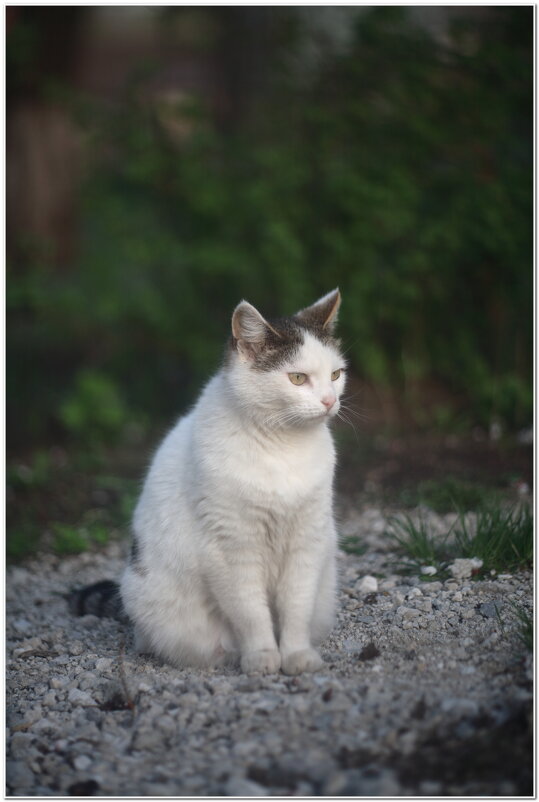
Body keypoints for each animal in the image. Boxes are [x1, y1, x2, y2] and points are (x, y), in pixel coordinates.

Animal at [71, 290, 346, 676]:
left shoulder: (307, 540)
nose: (329, 400)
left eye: (336, 374)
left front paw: (296, 656)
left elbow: (296, 607)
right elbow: (252, 613)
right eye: (297, 378)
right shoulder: (231, 547)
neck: (282, 448)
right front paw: (262, 657)